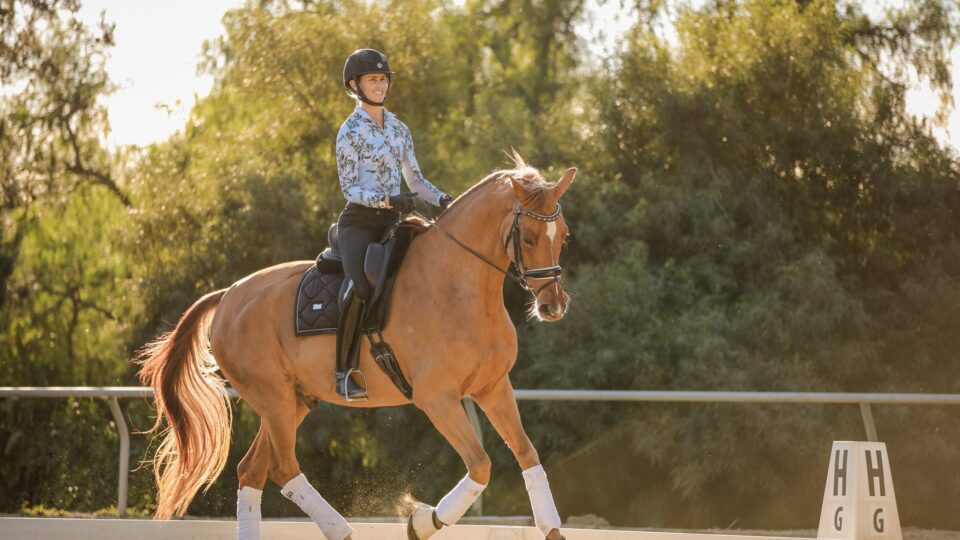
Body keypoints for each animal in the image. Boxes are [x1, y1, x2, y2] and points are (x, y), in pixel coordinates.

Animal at [137, 158, 576, 540]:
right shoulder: (437, 399)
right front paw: (421, 522)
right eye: (529, 237)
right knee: (284, 468)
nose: (552, 306)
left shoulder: (493, 388)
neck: (460, 288)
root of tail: (228, 295)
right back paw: (342, 530)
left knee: (252, 471)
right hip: (273, 398)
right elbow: (481, 466)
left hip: (293, 402)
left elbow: (528, 456)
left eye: (564, 235)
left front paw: (552, 529)